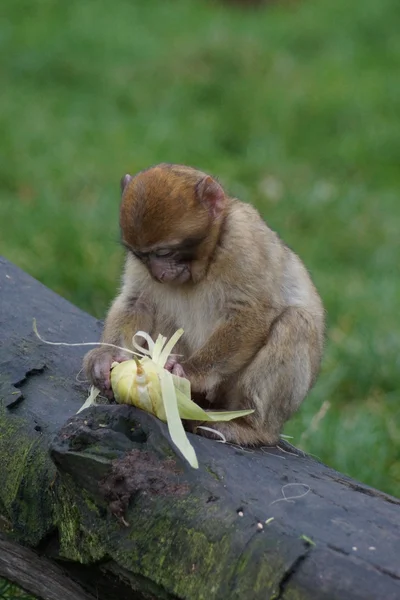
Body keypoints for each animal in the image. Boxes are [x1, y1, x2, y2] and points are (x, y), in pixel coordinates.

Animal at [85, 164, 324, 446]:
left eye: (164, 253)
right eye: (142, 256)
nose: (158, 274)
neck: (209, 259)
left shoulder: (244, 240)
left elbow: (253, 311)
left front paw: (188, 372)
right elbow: (136, 302)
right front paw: (106, 357)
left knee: (296, 321)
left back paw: (251, 428)